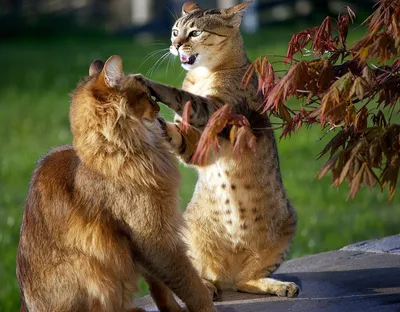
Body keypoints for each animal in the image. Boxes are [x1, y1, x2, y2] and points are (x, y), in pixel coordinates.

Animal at [15, 54, 216, 310]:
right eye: (145, 95)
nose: (158, 107)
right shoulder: (154, 239)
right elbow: (191, 285)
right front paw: (205, 304)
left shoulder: (146, 248)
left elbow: (161, 289)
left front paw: (172, 309)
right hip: (91, 269)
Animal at [133, 1, 298, 302]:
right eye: (174, 30)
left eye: (195, 32)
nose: (175, 44)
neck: (203, 75)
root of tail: (227, 275)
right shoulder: (197, 148)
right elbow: (178, 132)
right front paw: (156, 122)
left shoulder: (219, 112)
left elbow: (183, 96)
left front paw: (149, 83)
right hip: (189, 234)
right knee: (202, 275)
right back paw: (208, 287)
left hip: (286, 227)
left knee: (246, 280)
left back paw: (277, 285)